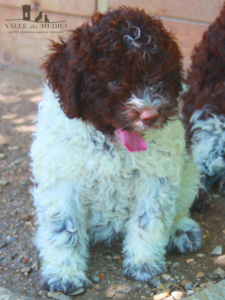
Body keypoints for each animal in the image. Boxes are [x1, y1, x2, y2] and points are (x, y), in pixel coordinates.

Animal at [30, 6, 202, 292]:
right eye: (116, 80)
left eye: (159, 77)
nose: (151, 116)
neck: (109, 142)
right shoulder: (62, 179)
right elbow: (63, 228)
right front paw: (64, 273)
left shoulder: (156, 177)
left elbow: (149, 220)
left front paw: (144, 262)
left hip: (188, 172)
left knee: (180, 208)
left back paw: (181, 231)